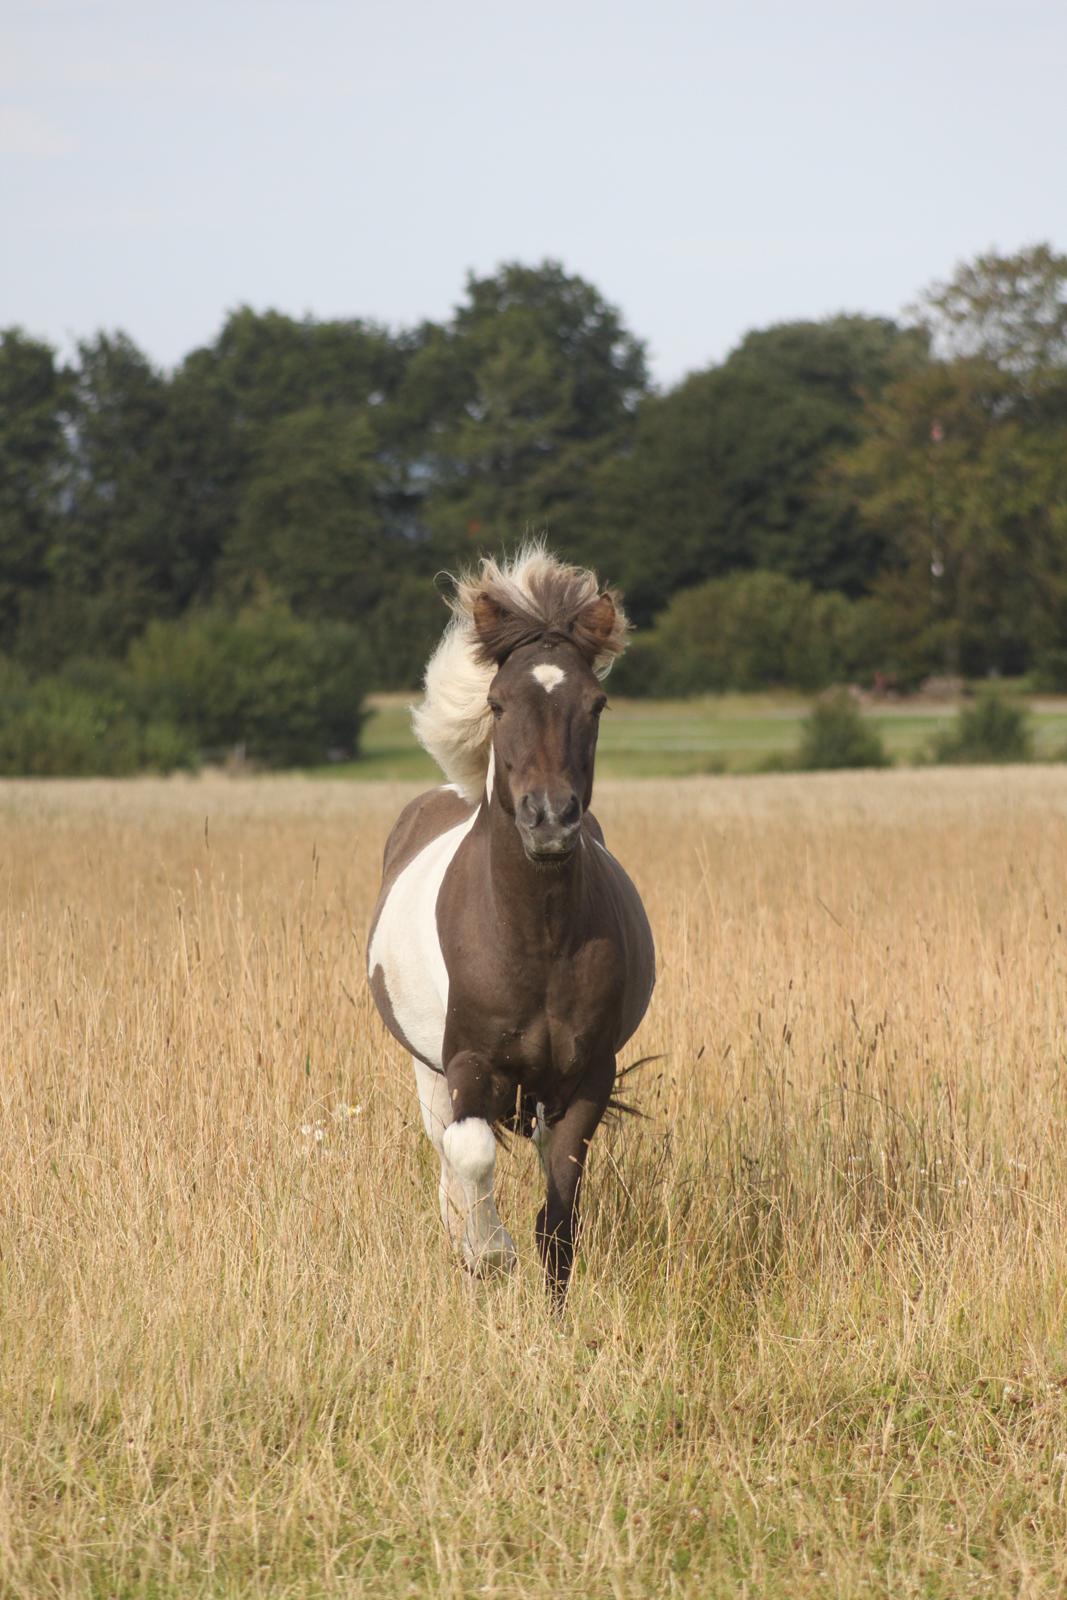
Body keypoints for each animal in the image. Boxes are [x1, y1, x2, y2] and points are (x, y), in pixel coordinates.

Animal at [367, 547, 655, 1299]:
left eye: (595, 703)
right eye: (498, 703)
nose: (549, 821)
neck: (535, 940)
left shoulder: (588, 1078)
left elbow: (558, 1219)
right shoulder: (468, 1062)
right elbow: (469, 1156)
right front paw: (490, 1255)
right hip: (428, 1072)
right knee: (446, 1159)